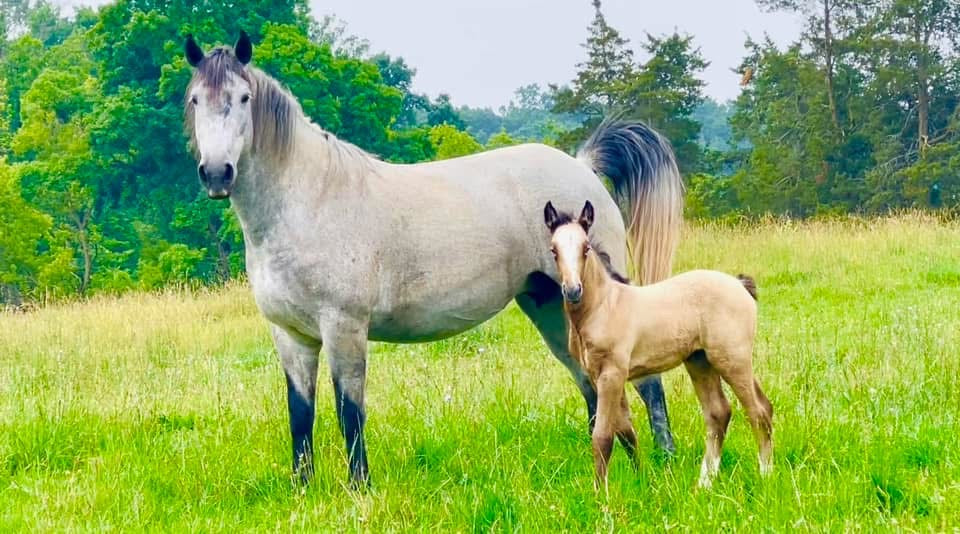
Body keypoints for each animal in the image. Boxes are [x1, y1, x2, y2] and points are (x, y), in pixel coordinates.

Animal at [182, 31, 684, 487]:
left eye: (244, 98)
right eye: (194, 100)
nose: (216, 173)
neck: (310, 200)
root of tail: (581, 165)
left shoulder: (344, 328)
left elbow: (349, 412)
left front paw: (359, 490)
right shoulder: (291, 336)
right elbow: (300, 415)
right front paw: (302, 491)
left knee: (644, 383)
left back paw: (662, 464)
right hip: (551, 306)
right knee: (591, 386)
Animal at [545, 200, 772, 489]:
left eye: (585, 248)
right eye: (554, 250)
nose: (573, 290)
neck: (603, 306)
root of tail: (739, 284)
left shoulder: (612, 374)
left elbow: (603, 436)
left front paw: (600, 493)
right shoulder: (600, 376)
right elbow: (626, 432)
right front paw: (641, 480)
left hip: (733, 359)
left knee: (758, 411)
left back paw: (765, 475)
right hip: (701, 361)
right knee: (719, 413)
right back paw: (704, 484)